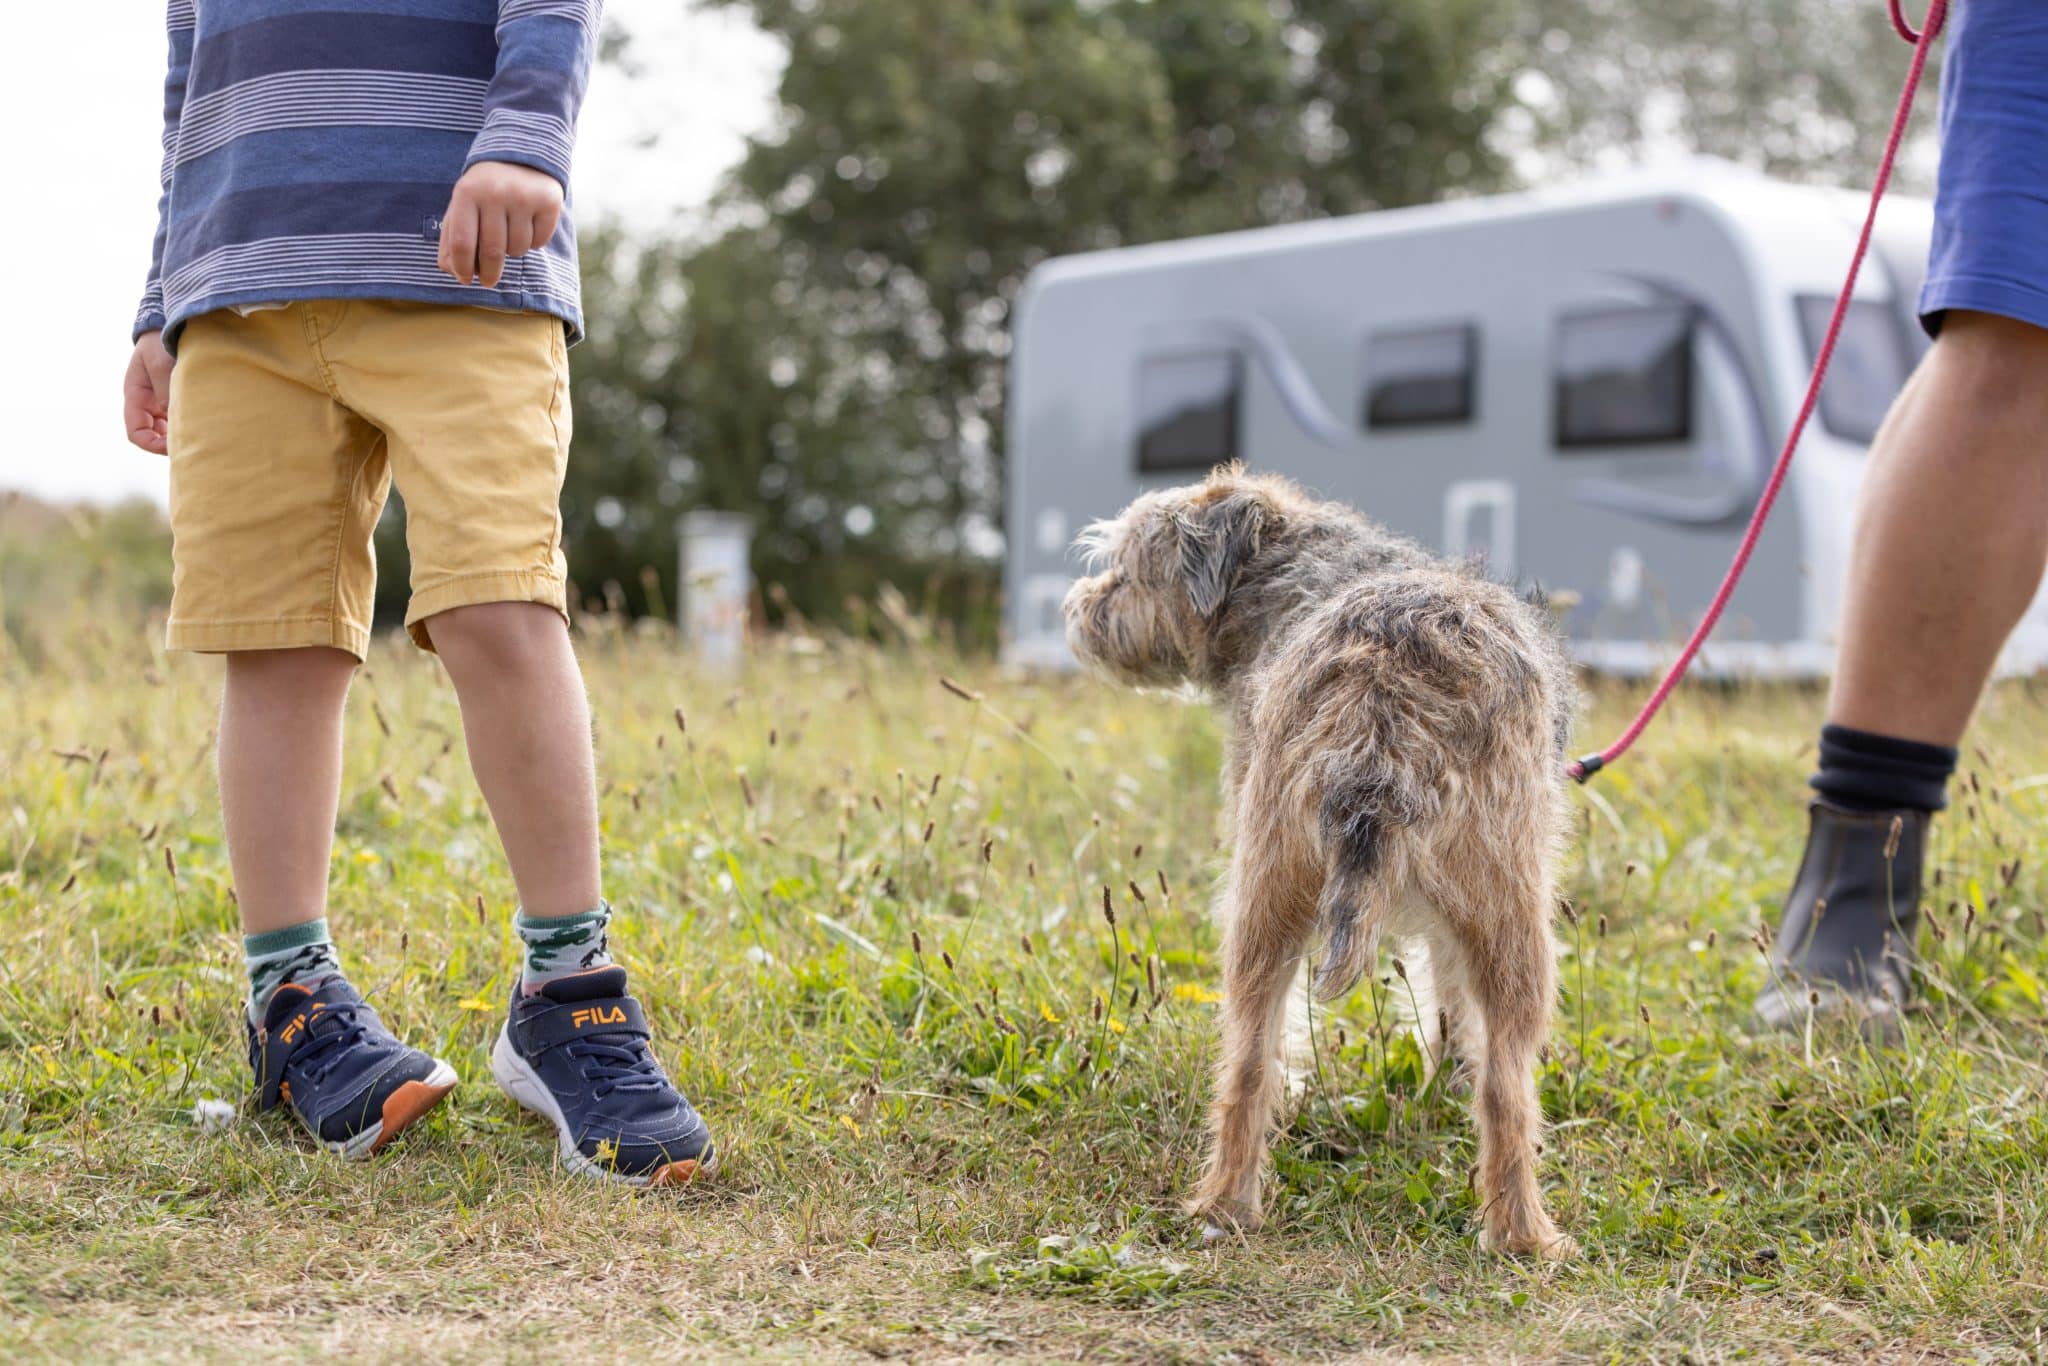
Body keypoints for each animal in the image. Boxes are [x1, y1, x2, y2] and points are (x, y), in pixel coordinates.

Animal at [1064, 464, 1572, 1253]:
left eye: (1128, 569)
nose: (1078, 607)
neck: (1284, 574)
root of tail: (1384, 695)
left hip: (1275, 896)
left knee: (1250, 1059)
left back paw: (1227, 1208)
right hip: (1508, 924)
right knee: (1505, 1085)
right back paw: (1522, 1236)